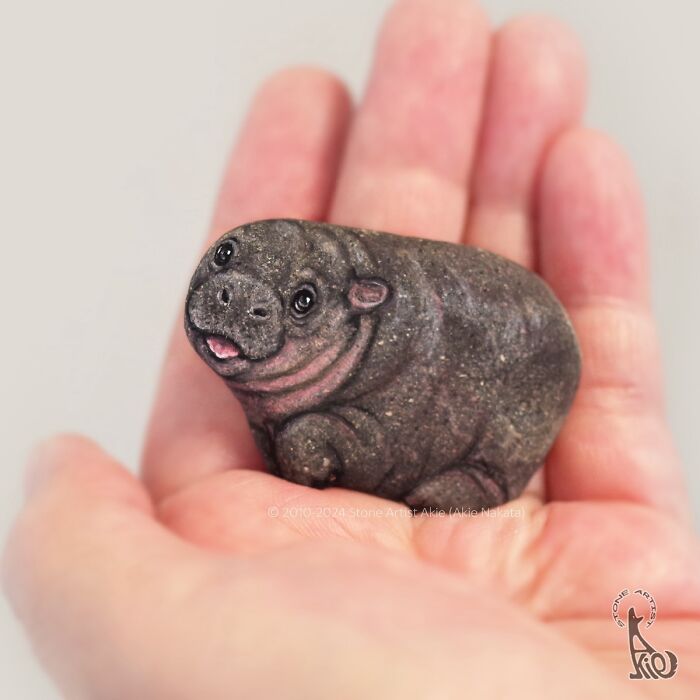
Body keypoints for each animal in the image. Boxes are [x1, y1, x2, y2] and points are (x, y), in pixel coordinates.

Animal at [184, 219, 581, 512]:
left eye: (305, 300)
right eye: (224, 251)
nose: (242, 295)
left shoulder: (377, 434)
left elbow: (305, 431)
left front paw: (314, 474)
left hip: (514, 440)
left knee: (493, 481)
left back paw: (432, 497)